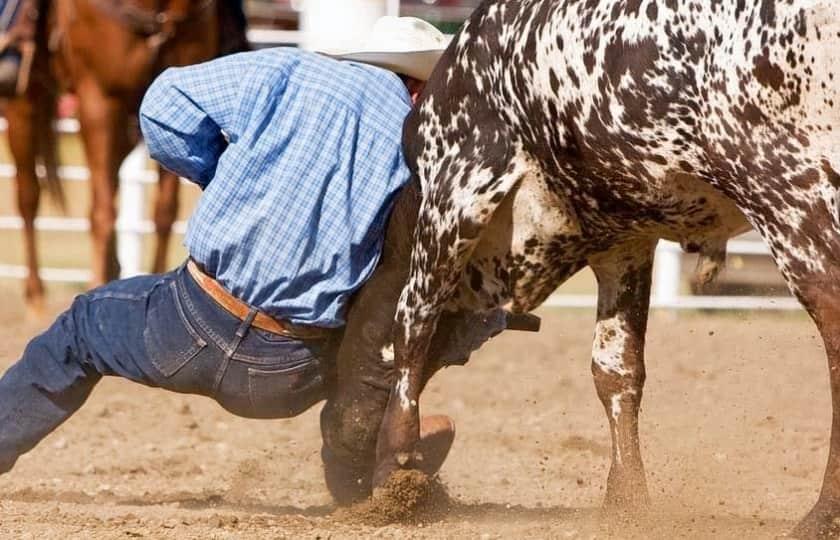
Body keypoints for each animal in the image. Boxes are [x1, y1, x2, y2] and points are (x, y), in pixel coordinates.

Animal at [6, 0, 243, 310]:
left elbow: (164, 213)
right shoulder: (98, 101)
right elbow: (102, 213)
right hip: (24, 103)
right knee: (28, 196)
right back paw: (36, 299)